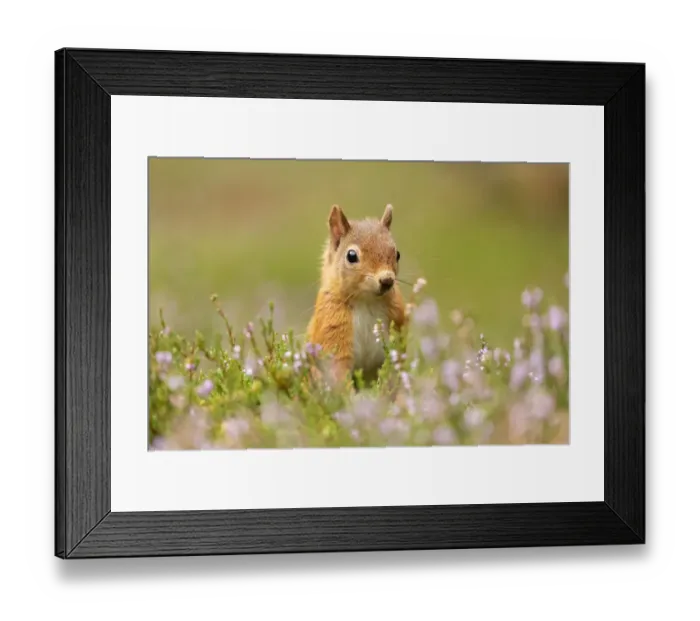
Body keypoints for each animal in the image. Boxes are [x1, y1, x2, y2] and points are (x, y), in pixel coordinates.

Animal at [307, 204, 406, 385]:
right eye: (351, 256)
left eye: (397, 254)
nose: (387, 280)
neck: (366, 301)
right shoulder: (333, 329)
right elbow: (338, 372)